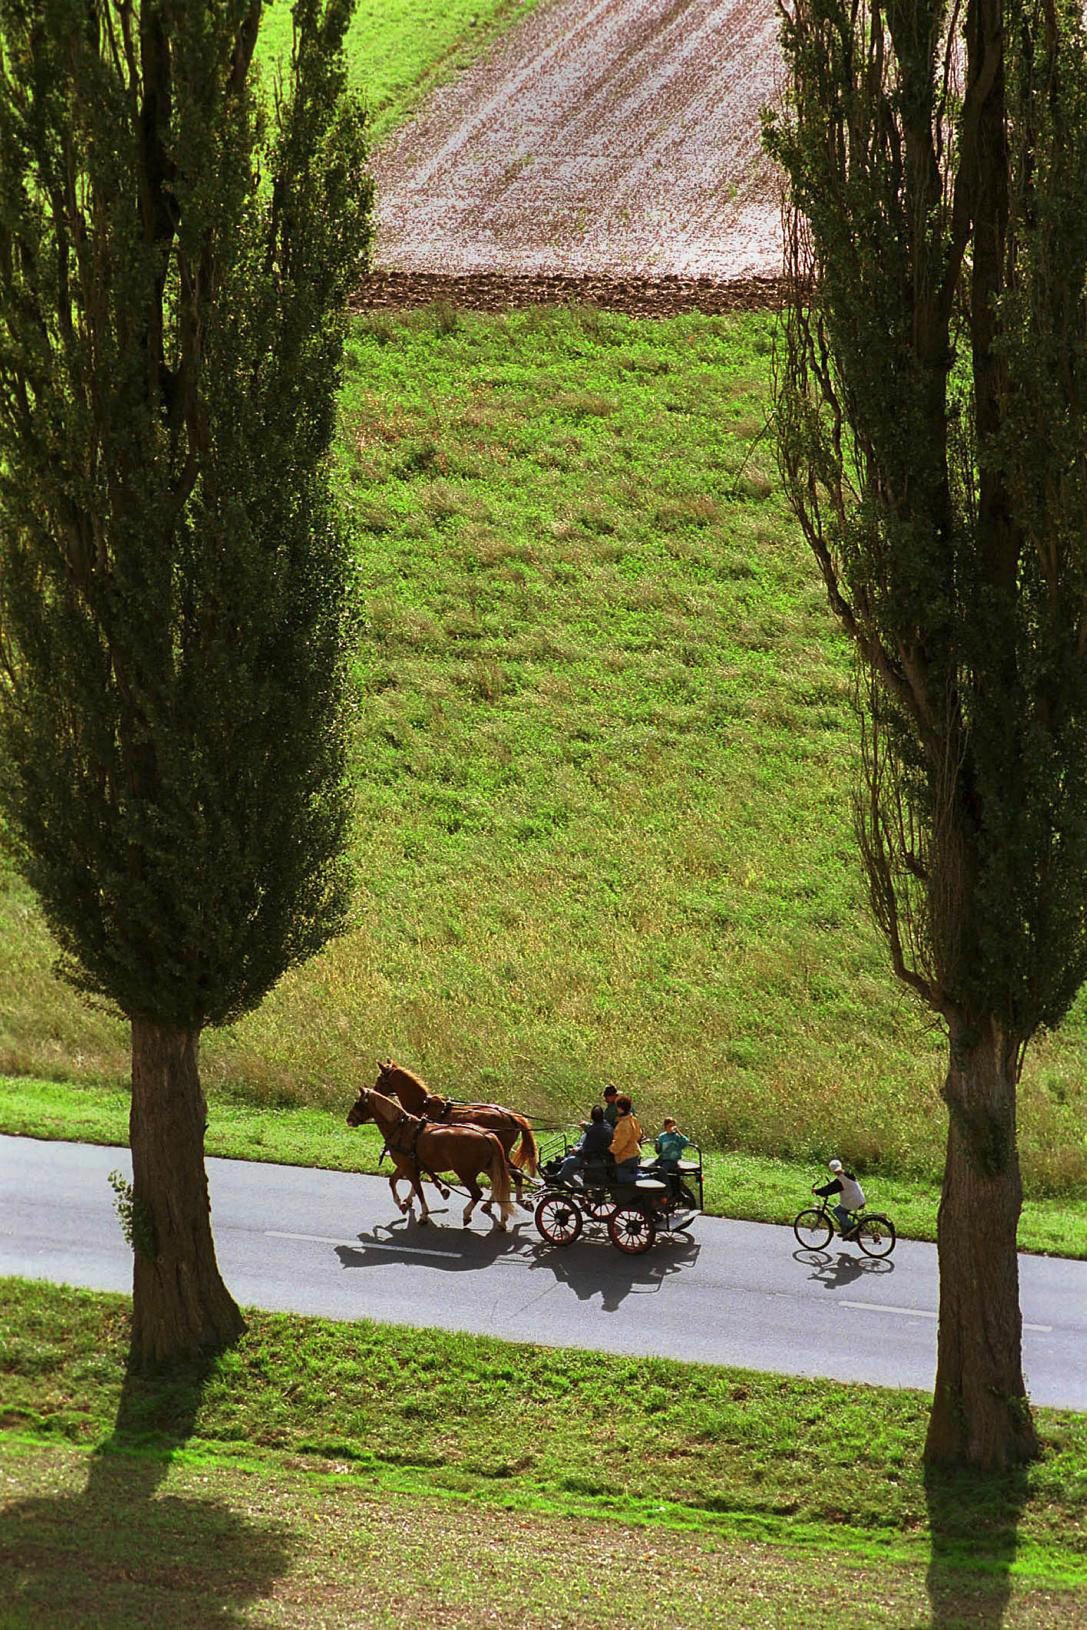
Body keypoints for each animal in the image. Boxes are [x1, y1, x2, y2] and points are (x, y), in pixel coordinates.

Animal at [348, 1088, 518, 1225]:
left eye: (358, 1103)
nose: (349, 1119)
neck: (402, 1130)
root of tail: (488, 1134)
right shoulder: (405, 1165)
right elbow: (392, 1181)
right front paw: (402, 1204)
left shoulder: (408, 1168)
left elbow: (419, 1190)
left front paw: (423, 1214)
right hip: (488, 1168)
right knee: (500, 1186)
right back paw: (502, 1219)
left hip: (466, 1173)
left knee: (479, 1193)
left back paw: (467, 1214)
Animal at [374, 1056, 541, 1212]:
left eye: (380, 1078)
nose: (374, 1091)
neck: (423, 1105)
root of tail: (511, 1116)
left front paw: (411, 1199)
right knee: (510, 1173)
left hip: (500, 1153)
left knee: (509, 1174)